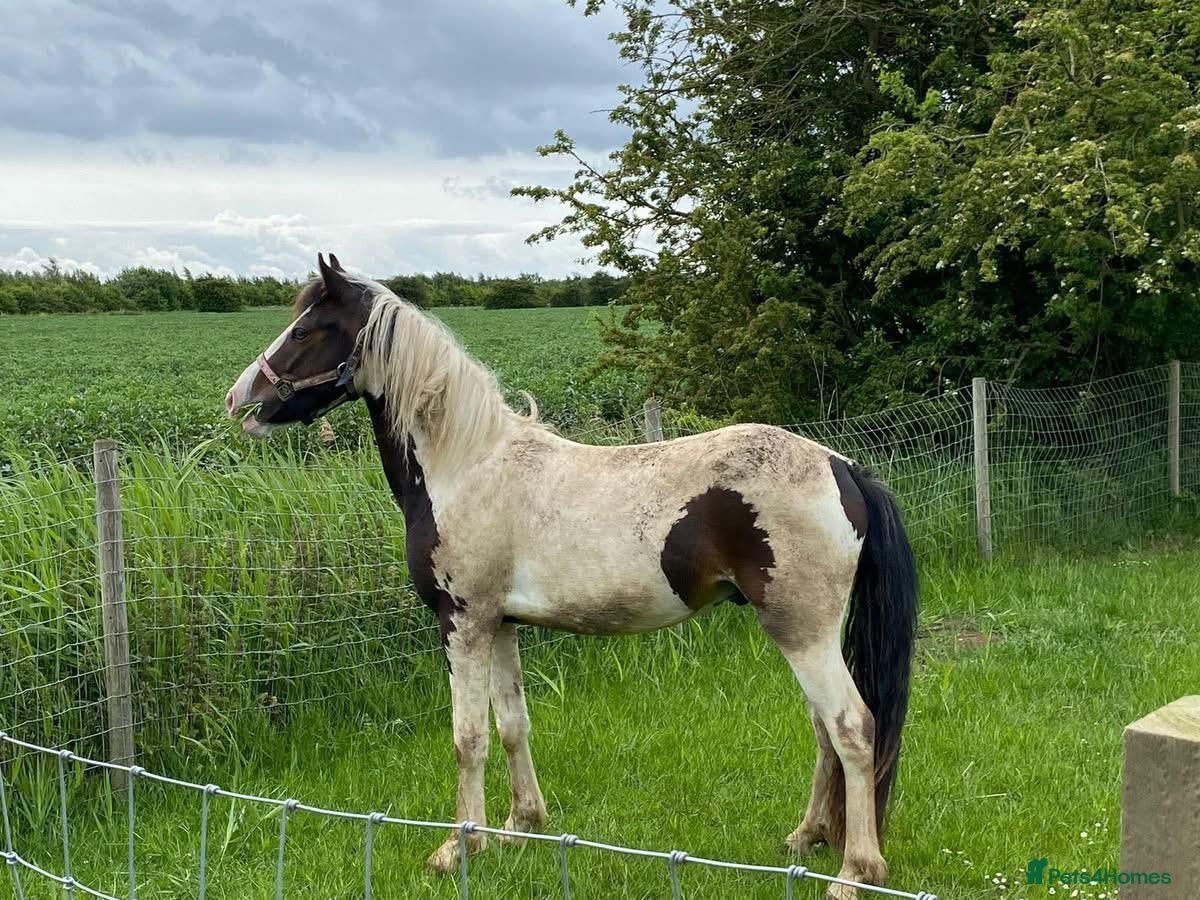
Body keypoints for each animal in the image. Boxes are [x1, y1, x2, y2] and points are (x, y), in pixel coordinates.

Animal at [224, 254, 918, 898]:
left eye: (306, 329)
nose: (239, 400)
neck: (466, 465)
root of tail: (841, 465)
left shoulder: (463, 623)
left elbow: (467, 737)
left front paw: (458, 847)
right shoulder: (500, 624)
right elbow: (511, 725)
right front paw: (519, 827)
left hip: (804, 634)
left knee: (852, 729)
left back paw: (855, 871)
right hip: (805, 637)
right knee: (824, 731)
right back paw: (807, 837)